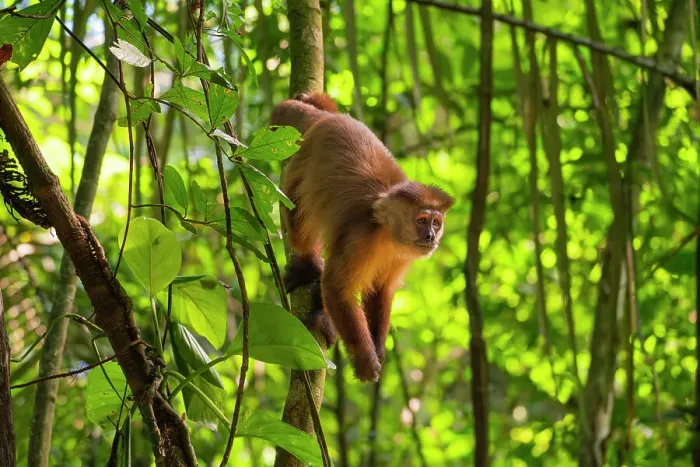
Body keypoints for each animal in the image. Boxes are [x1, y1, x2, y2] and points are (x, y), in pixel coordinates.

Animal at [271, 92, 454, 382]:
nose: (430, 237)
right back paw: (308, 268)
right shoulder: (360, 238)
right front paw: (365, 359)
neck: (387, 234)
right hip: (302, 160)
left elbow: (380, 290)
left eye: (437, 223)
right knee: (298, 211)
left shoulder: (403, 255)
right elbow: (337, 288)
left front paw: (377, 349)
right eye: (422, 221)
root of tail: (331, 120)